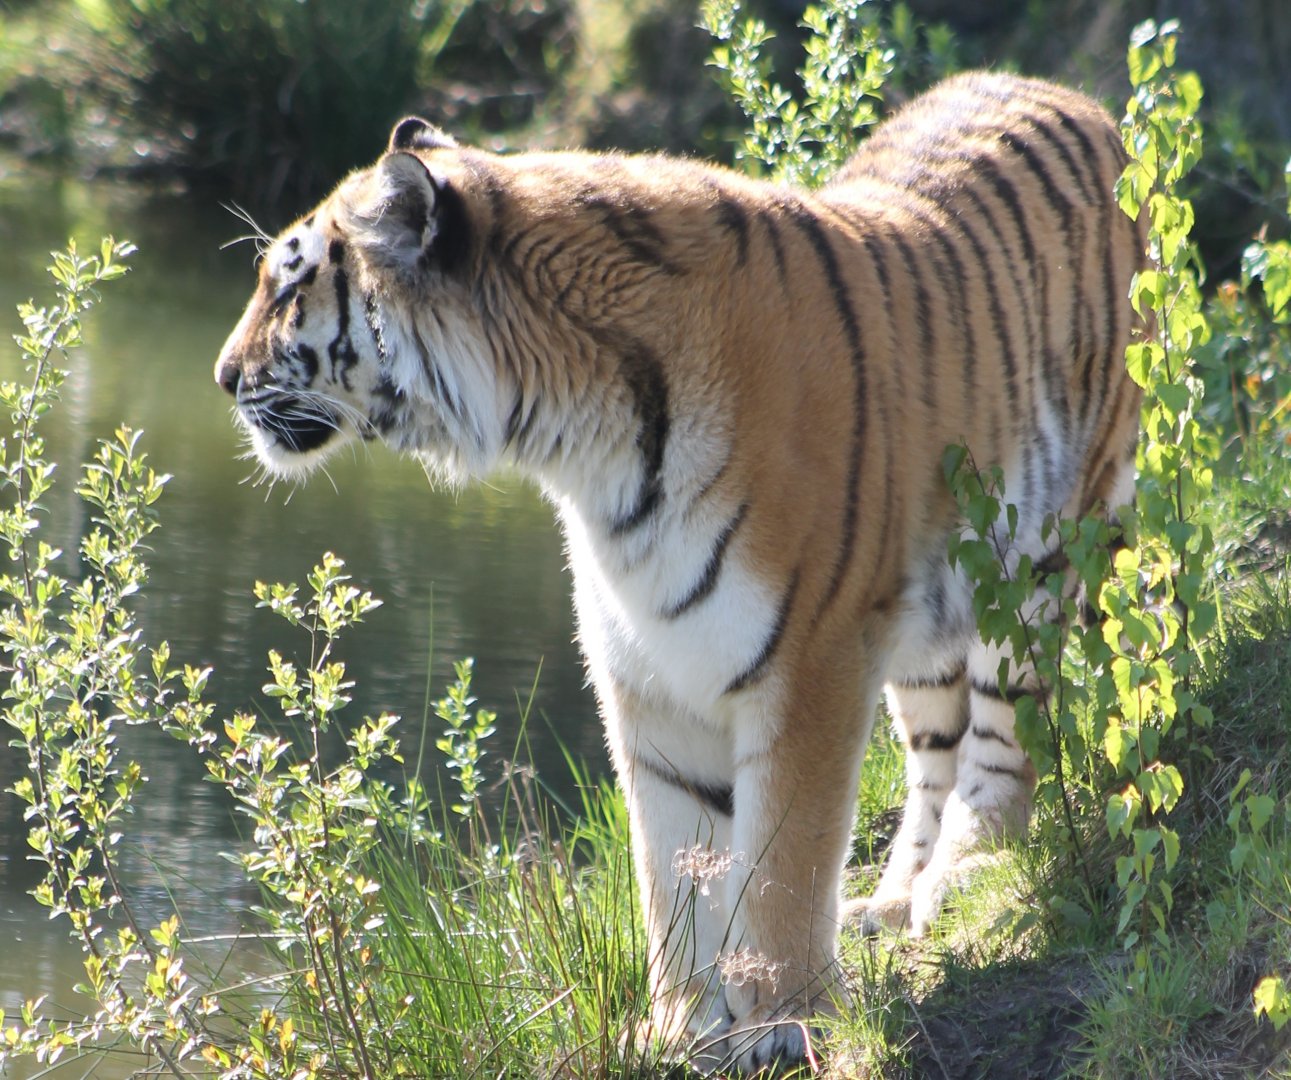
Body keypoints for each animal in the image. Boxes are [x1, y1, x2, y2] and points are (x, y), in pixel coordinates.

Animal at [214, 71, 1142, 1073]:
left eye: (287, 285)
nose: (223, 376)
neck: (578, 441)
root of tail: (1075, 98)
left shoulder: (809, 657)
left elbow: (781, 861)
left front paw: (785, 1019)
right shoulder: (649, 670)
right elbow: (674, 869)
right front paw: (682, 1029)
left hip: (1041, 554)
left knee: (1004, 736)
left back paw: (966, 870)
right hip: (927, 609)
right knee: (934, 749)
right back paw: (892, 900)